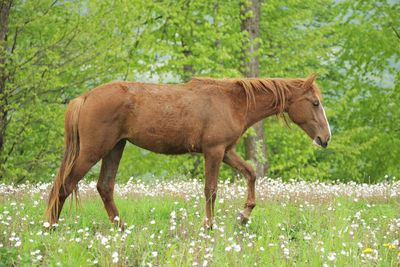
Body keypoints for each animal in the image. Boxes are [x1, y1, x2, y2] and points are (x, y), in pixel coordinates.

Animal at [45, 73, 330, 230]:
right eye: (315, 103)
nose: (325, 139)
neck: (233, 102)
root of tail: (85, 97)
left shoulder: (227, 151)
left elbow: (250, 173)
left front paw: (244, 215)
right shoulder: (214, 152)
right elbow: (211, 190)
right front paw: (209, 226)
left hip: (115, 148)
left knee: (104, 187)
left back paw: (121, 229)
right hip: (93, 152)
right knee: (65, 185)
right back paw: (50, 228)